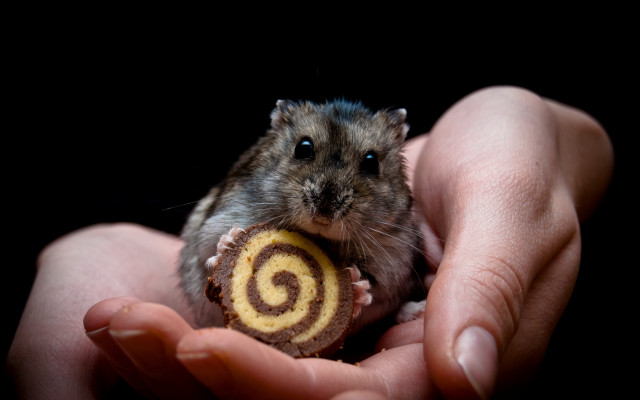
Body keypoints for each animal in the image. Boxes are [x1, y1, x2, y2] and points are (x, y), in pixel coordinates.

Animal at [179, 99, 423, 333]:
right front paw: (229, 242)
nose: (324, 213)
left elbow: (375, 290)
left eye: (372, 161)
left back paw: (415, 311)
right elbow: (210, 254)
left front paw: (356, 287)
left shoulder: (395, 260)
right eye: (303, 148)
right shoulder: (212, 226)